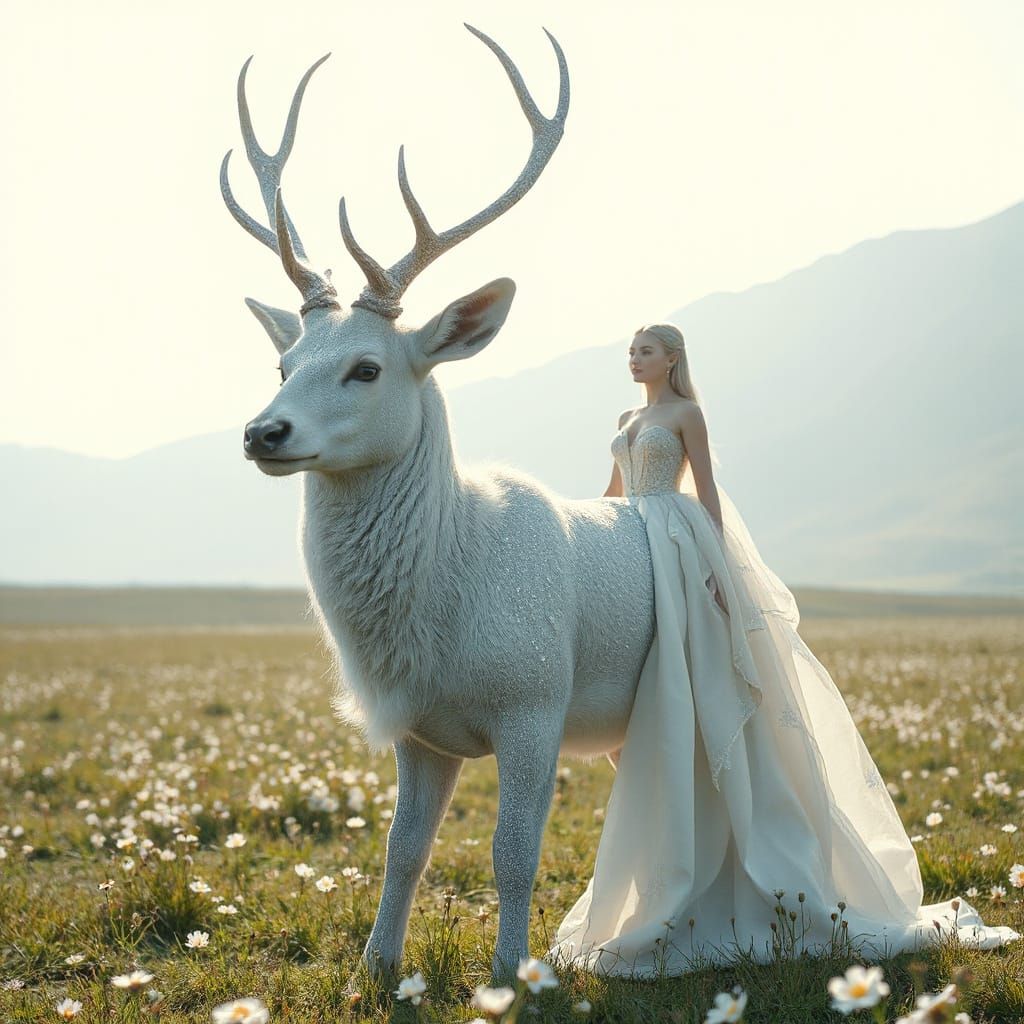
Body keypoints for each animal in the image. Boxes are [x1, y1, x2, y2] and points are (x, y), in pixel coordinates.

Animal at [220, 23, 657, 983]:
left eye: (366, 367)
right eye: (283, 363)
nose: (264, 432)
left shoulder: (534, 700)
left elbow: (513, 852)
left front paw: (511, 975)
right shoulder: (418, 732)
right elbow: (401, 848)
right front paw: (375, 969)